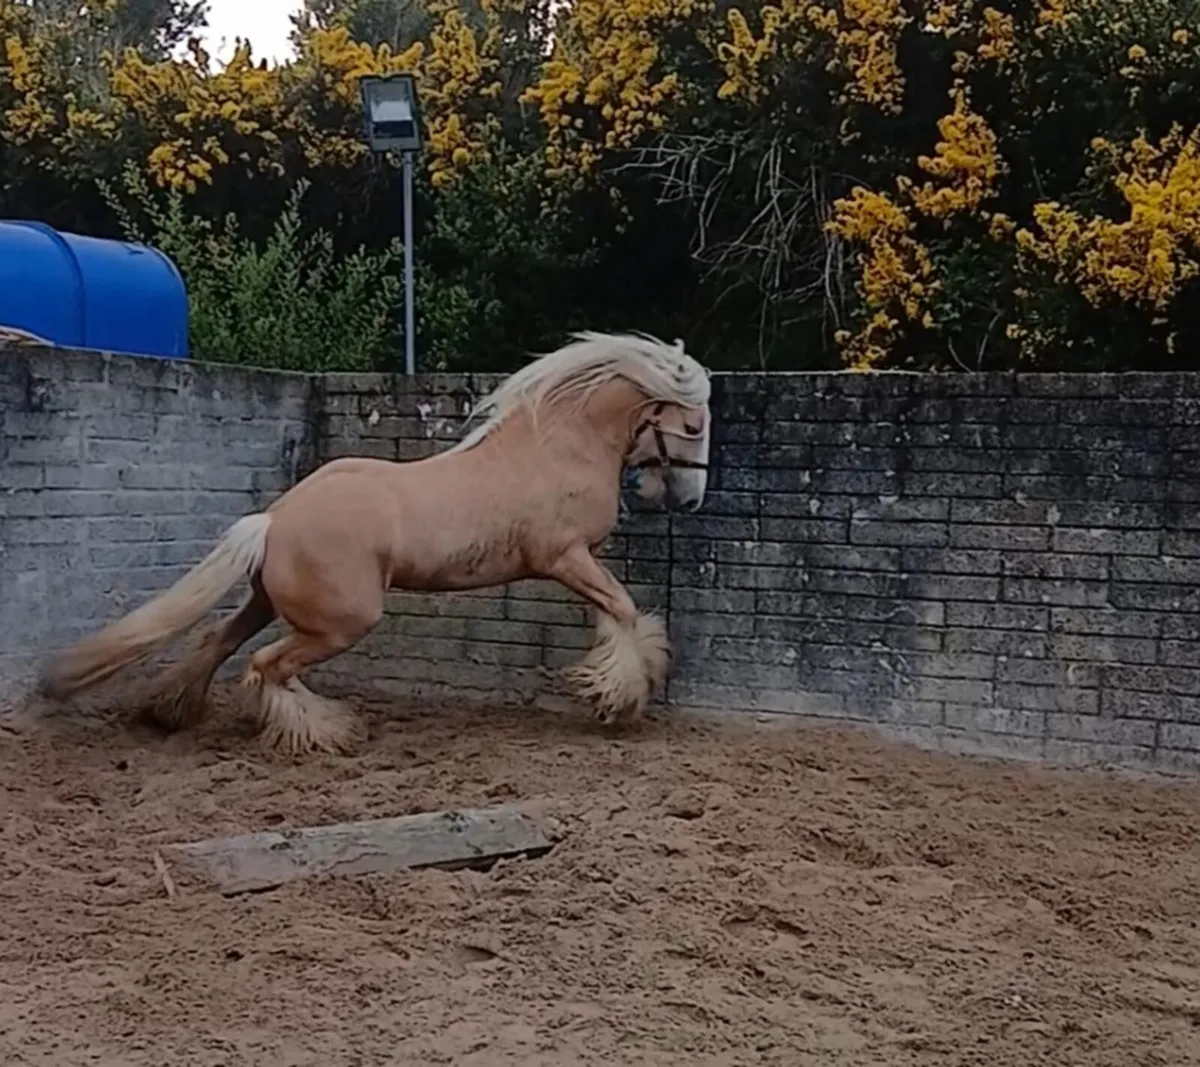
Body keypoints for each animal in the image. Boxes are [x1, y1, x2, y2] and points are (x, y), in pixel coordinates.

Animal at [37, 331, 713, 756]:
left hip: (268, 603)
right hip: (341, 621)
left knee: (216, 643)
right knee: (265, 667)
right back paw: (325, 733)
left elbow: (615, 614)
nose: (690, 499)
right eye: (694, 424)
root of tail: (274, 519)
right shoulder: (564, 557)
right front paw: (620, 700)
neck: (557, 446)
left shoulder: (577, 563)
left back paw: (169, 716)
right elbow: (623, 610)